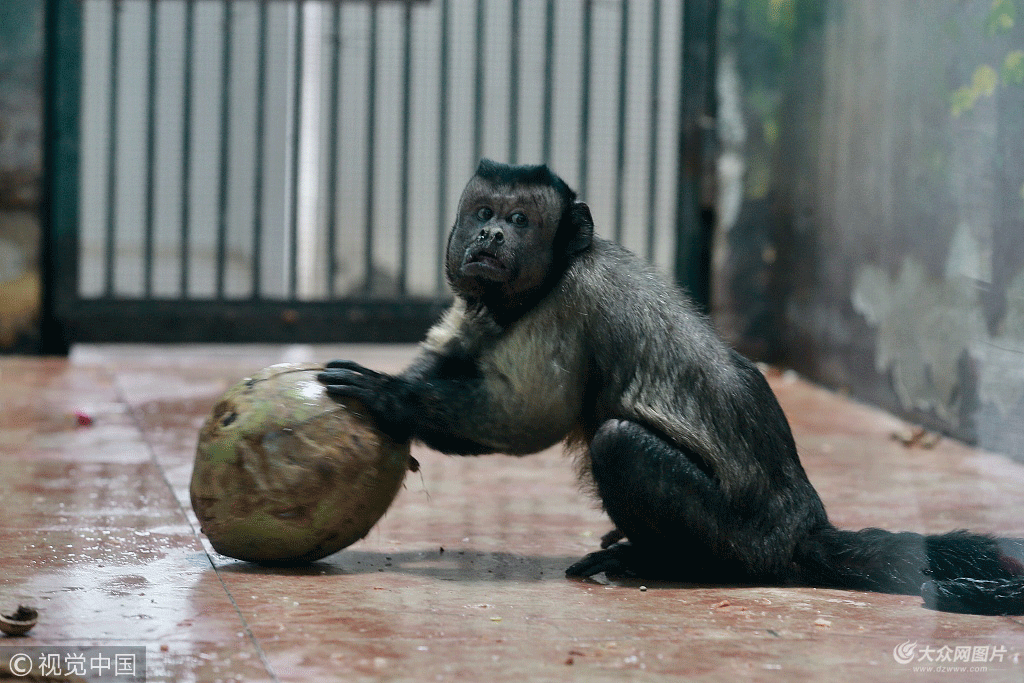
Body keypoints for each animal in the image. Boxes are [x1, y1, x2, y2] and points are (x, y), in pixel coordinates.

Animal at [319, 158, 1024, 614]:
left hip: (744, 540)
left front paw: (390, 398)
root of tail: (803, 527)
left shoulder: (567, 304)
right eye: (484, 214)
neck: (549, 277)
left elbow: (529, 418)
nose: (491, 235)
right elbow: (454, 355)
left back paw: (668, 563)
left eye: (519, 220)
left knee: (619, 443)